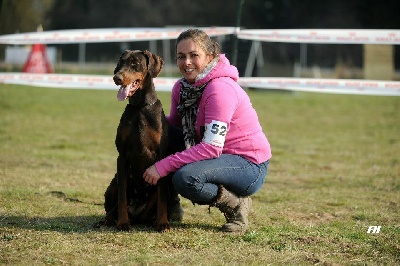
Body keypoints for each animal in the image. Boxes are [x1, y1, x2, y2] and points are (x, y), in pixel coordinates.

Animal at [95, 50, 175, 233]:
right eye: (120, 63)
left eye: (134, 63)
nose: (116, 78)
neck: (140, 108)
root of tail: (136, 213)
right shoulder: (122, 156)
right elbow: (122, 197)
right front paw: (123, 223)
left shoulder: (160, 156)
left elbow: (161, 196)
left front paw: (163, 223)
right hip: (113, 183)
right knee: (113, 207)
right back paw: (107, 220)